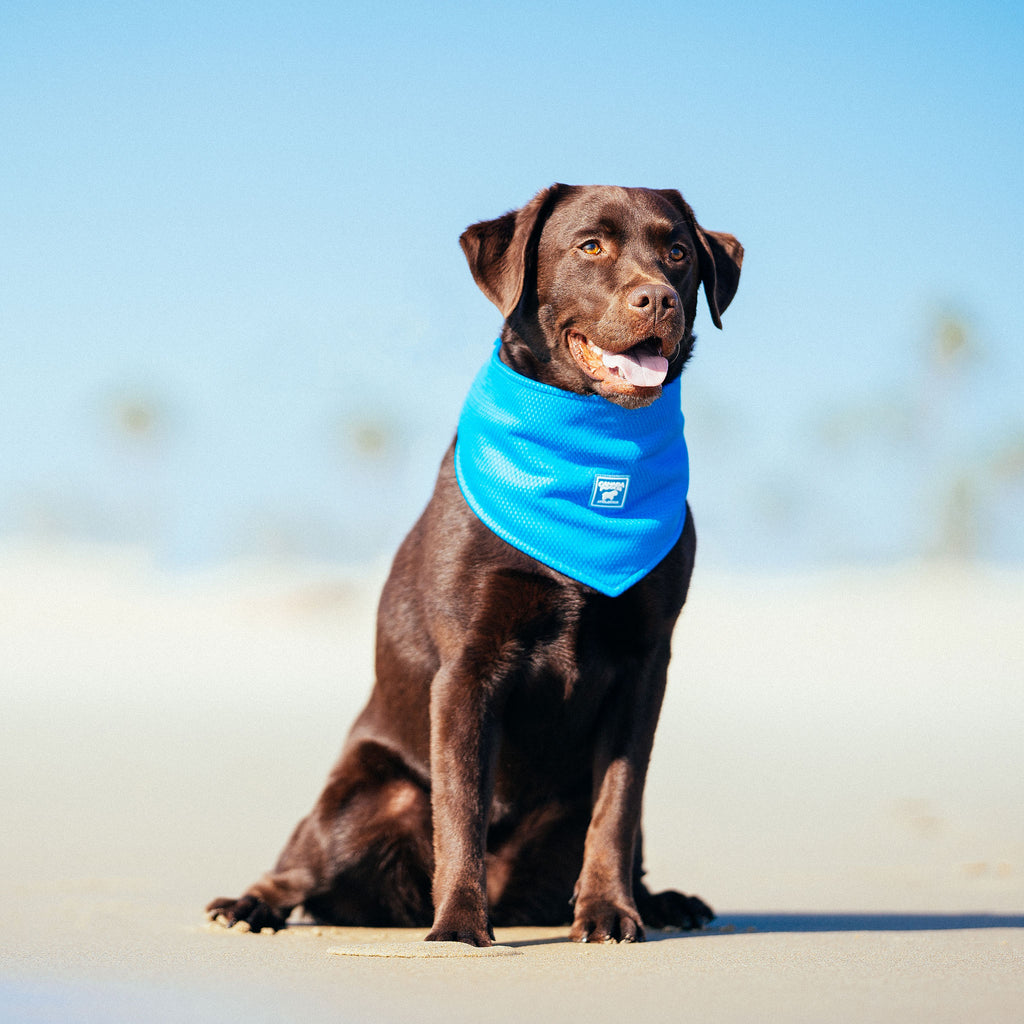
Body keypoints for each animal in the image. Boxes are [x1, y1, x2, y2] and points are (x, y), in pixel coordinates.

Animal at [209, 184, 745, 942]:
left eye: (677, 252)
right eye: (590, 246)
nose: (660, 299)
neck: (594, 460)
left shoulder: (645, 666)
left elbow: (617, 806)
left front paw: (609, 912)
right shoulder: (469, 665)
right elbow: (461, 803)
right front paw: (460, 924)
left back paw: (662, 901)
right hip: (370, 796)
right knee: (303, 865)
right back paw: (251, 904)